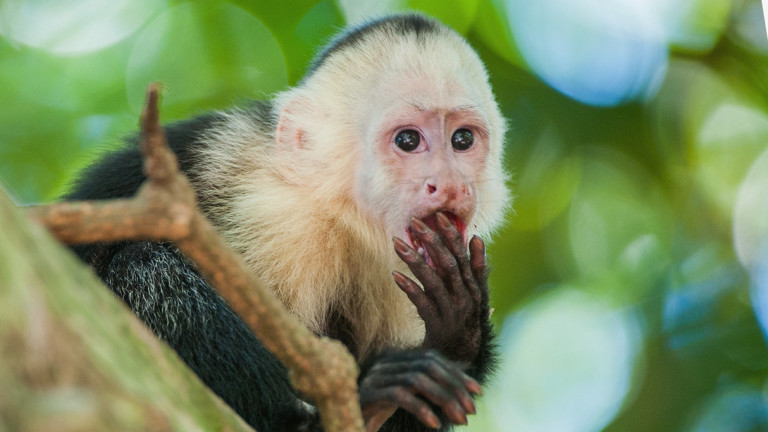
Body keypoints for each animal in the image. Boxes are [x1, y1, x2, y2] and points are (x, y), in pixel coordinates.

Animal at [66, 13, 510, 432]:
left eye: (462, 140)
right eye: (407, 140)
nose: (450, 184)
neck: (340, 216)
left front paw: (456, 332)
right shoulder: (276, 221)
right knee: (143, 266)